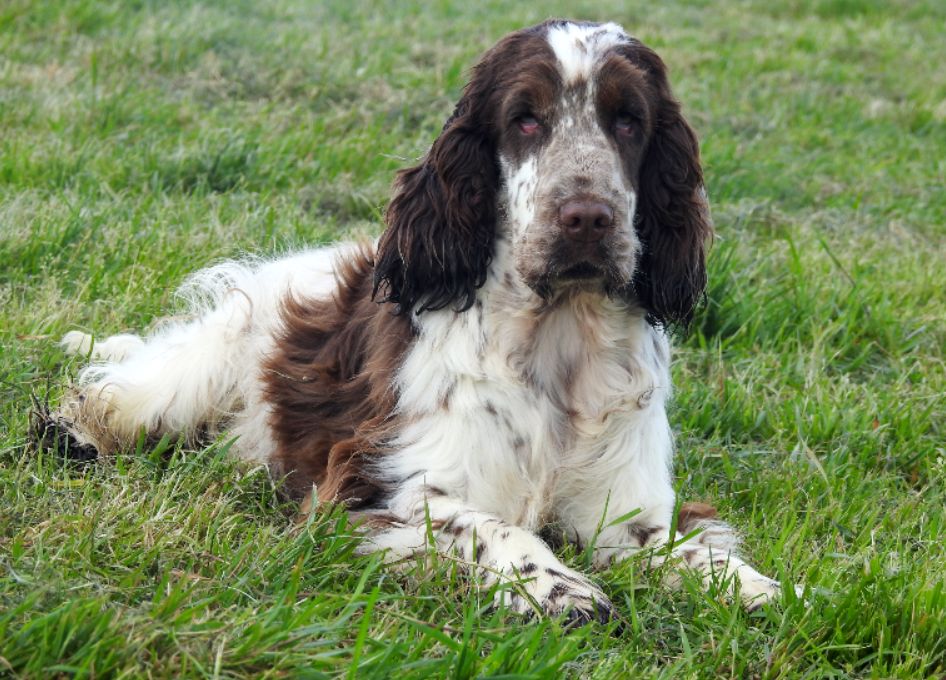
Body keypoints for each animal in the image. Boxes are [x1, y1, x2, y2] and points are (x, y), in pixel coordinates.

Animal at [40, 19, 784, 628]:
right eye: (525, 119)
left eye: (628, 120)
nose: (587, 218)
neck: (557, 338)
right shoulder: (371, 491)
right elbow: (492, 528)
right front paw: (561, 589)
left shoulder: (625, 512)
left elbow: (684, 550)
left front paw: (760, 590)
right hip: (199, 370)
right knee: (110, 393)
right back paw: (75, 431)